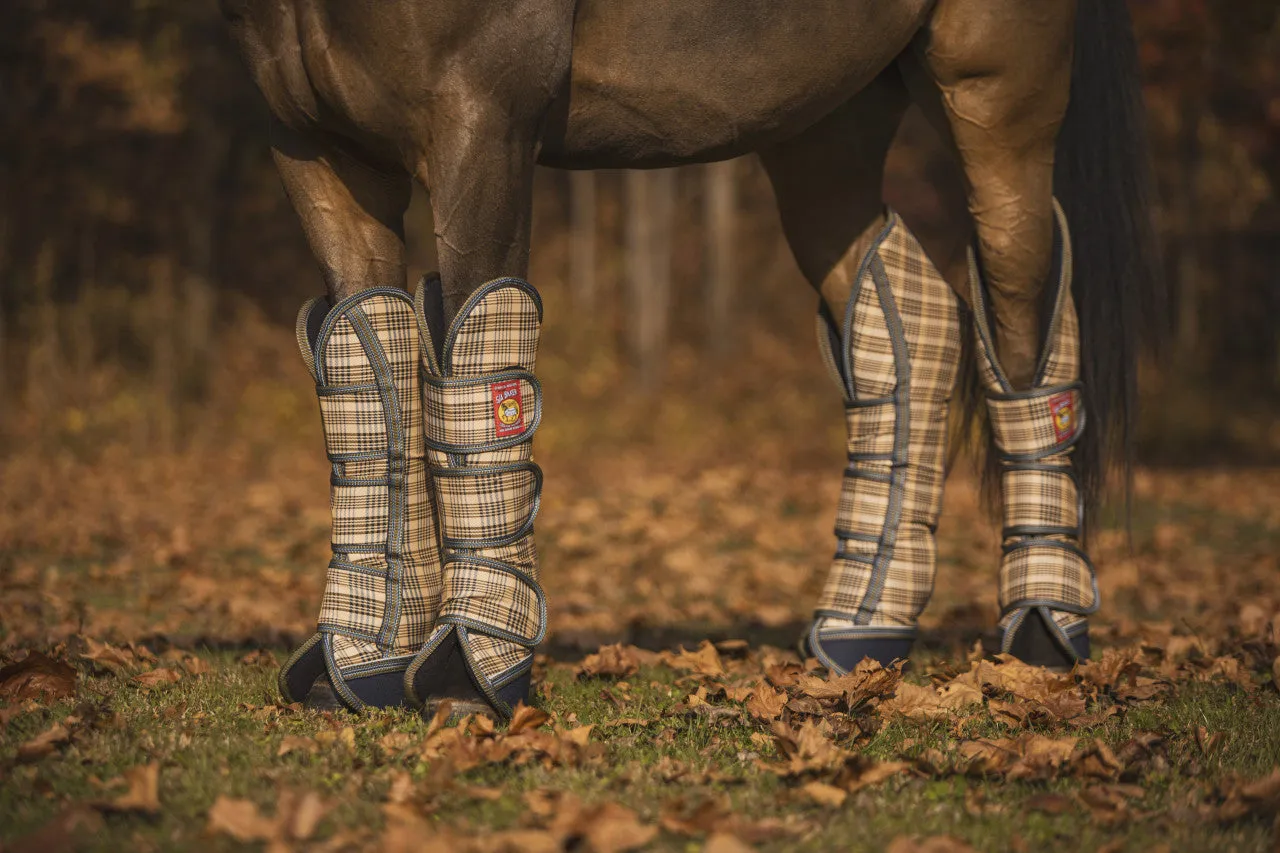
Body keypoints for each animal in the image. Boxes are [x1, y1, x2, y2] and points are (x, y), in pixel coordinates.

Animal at [217, 0, 1162, 712]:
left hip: (996, 92)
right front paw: (356, 664)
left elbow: (475, 373)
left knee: (1025, 320)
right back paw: (863, 625)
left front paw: (470, 665)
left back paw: (1045, 626)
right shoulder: (317, 149)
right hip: (824, 122)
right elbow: (371, 367)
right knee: (904, 315)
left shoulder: (480, 118)